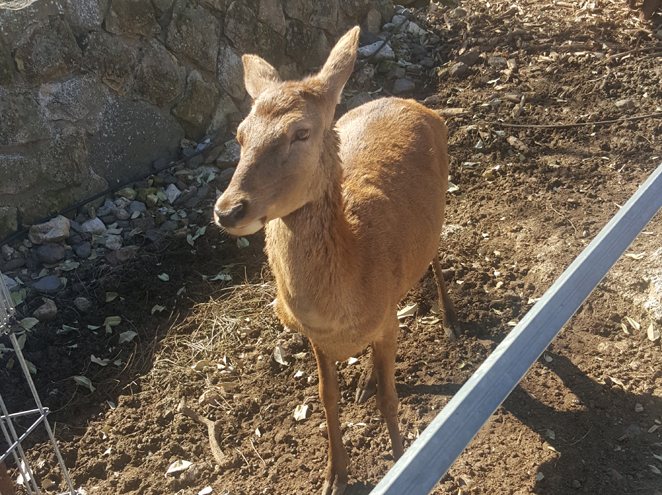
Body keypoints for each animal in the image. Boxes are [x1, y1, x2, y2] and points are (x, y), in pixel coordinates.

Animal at [215, 26, 460, 495]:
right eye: (239, 135)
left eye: (301, 132)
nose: (228, 209)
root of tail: (418, 104)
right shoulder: (317, 338)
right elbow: (327, 398)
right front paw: (334, 476)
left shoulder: (386, 320)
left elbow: (390, 398)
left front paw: (401, 460)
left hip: (440, 209)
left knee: (437, 256)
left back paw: (450, 321)